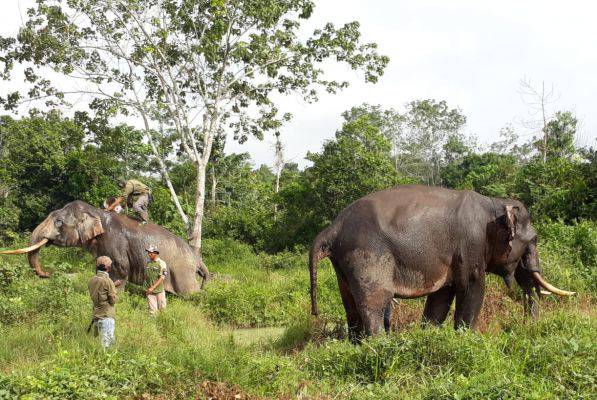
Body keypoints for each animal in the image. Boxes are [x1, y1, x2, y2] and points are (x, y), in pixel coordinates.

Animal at [0, 200, 208, 294]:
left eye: (58, 222)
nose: (48, 274)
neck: (97, 213)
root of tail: (197, 258)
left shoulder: (115, 242)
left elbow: (122, 269)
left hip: (182, 272)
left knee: (189, 293)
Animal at [308, 184, 572, 340]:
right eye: (533, 241)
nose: (527, 327)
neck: (493, 204)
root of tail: (333, 228)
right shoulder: (471, 244)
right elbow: (473, 288)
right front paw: (468, 340)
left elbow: (441, 297)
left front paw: (430, 336)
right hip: (367, 255)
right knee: (374, 302)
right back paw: (380, 345)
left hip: (343, 264)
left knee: (350, 305)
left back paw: (358, 345)